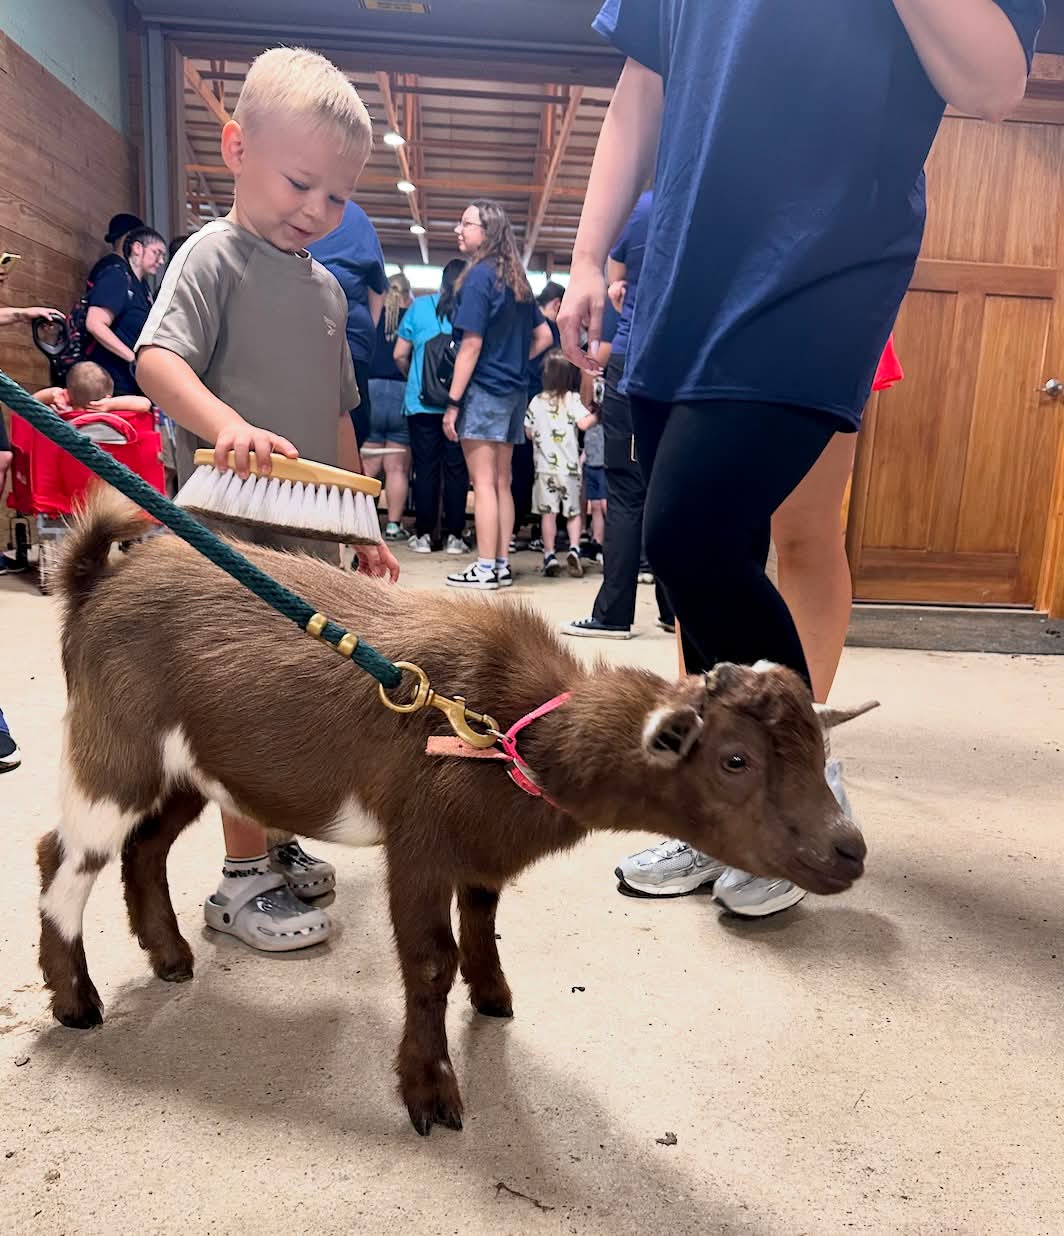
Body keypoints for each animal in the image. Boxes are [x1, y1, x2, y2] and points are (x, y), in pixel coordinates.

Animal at [39, 489, 869, 1135]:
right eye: (736, 760)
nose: (850, 850)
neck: (512, 730)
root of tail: (94, 582)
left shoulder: (479, 846)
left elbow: (483, 918)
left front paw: (494, 997)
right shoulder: (420, 843)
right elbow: (430, 961)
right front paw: (430, 1092)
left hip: (190, 766)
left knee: (143, 847)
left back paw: (170, 958)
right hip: (114, 748)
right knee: (65, 856)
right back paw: (76, 1001)